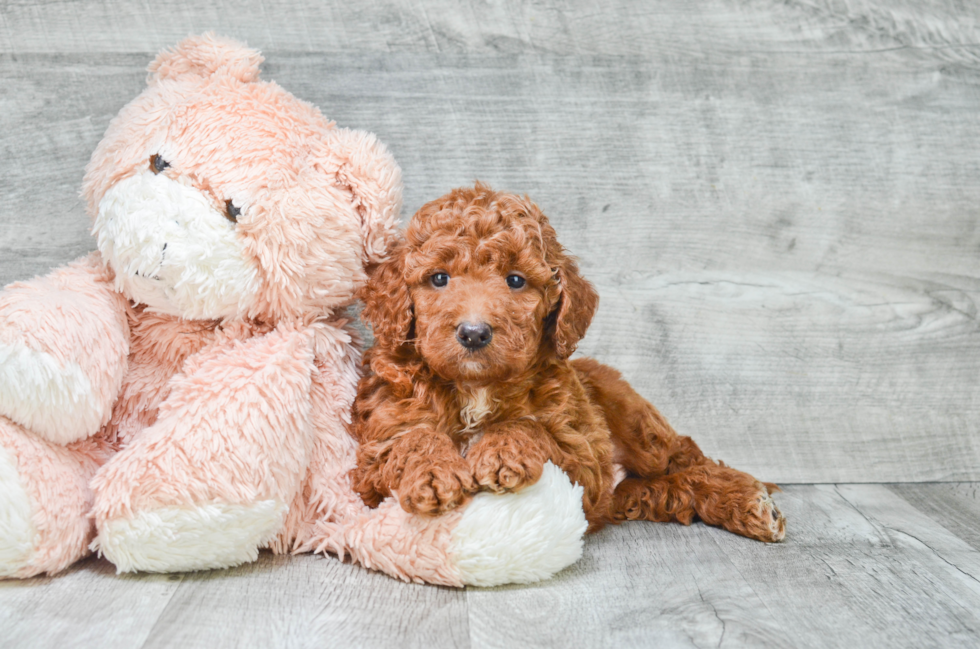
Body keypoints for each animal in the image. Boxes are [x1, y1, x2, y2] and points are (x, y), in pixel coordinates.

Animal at [348, 184, 784, 540]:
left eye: (516, 280)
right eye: (438, 278)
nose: (474, 333)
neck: (476, 387)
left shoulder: (585, 460)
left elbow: (530, 426)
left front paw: (502, 450)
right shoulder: (371, 458)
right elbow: (413, 438)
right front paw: (433, 474)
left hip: (636, 423)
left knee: (687, 457)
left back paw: (751, 501)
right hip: (626, 490)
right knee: (667, 488)